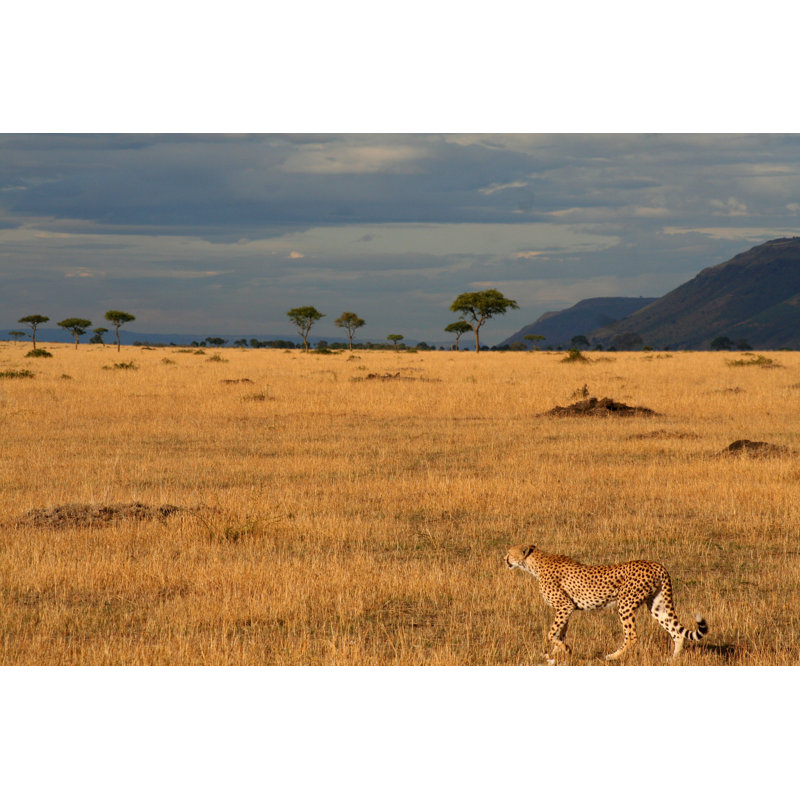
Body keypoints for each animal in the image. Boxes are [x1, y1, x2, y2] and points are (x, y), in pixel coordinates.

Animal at [505, 544, 708, 663]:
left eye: (508, 553)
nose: (503, 558)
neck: (535, 564)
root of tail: (656, 564)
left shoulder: (565, 606)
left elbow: (550, 633)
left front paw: (564, 649)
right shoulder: (566, 609)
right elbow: (559, 632)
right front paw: (555, 652)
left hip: (625, 603)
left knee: (632, 635)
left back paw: (612, 656)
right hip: (657, 605)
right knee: (676, 632)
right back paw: (673, 659)